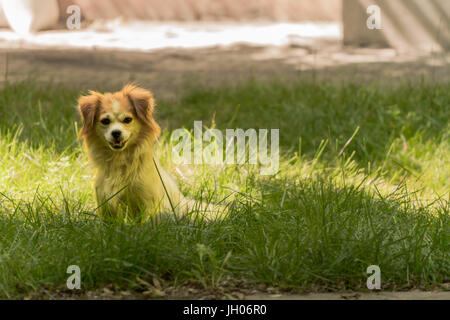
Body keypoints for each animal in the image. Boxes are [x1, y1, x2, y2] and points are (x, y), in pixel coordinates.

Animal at [78, 84, 213, 221]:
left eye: (127, 119)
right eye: (105, 121)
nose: (116, 132)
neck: (120, 157)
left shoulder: (148, 204)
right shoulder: (106, 203)